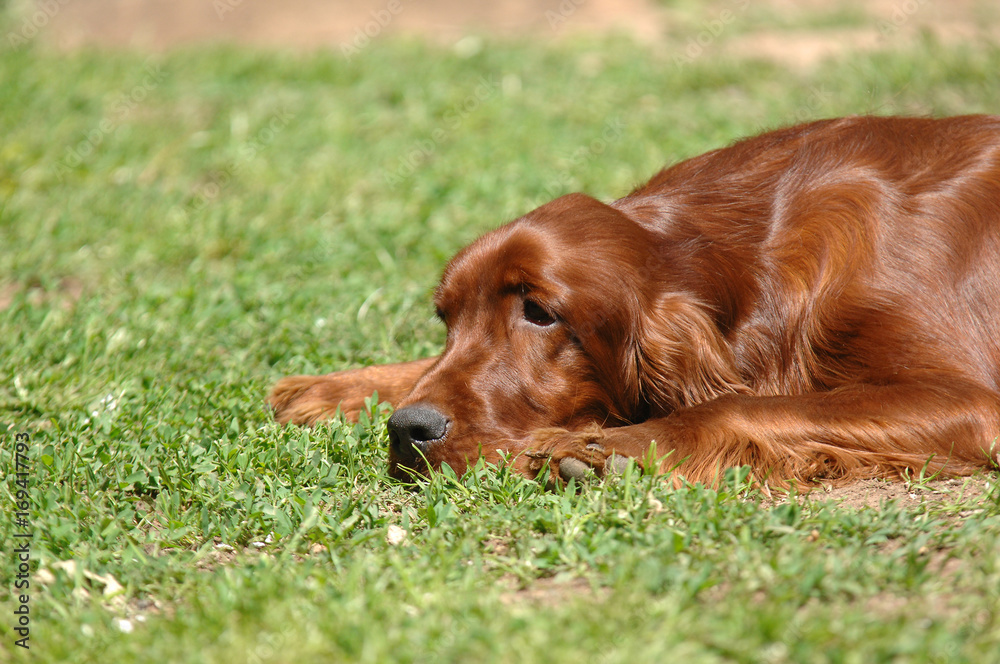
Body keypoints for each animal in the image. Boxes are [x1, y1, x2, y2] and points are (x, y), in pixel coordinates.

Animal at [272, 114, 1000, 486]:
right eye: (446, 316)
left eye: (540, 312)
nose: (408, 430)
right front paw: (333, 387)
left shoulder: (970, 400)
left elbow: (734, 405)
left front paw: (601, 449)